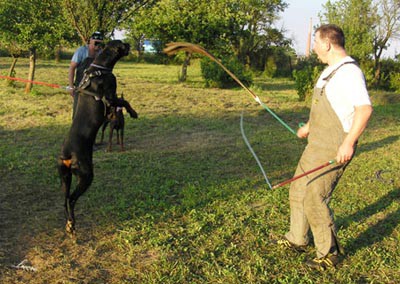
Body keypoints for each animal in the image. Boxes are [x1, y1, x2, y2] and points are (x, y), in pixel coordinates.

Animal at [56, 40, 138, 235]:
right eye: (122, 44)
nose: (129, 43)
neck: (99, 68)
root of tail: (67, 154)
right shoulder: (111, 97)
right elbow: (124, 101)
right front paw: (133, 113)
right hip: (86, 175)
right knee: (71, 199)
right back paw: (72, 223)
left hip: (64, 177)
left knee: (64, 200)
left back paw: (70, 224)